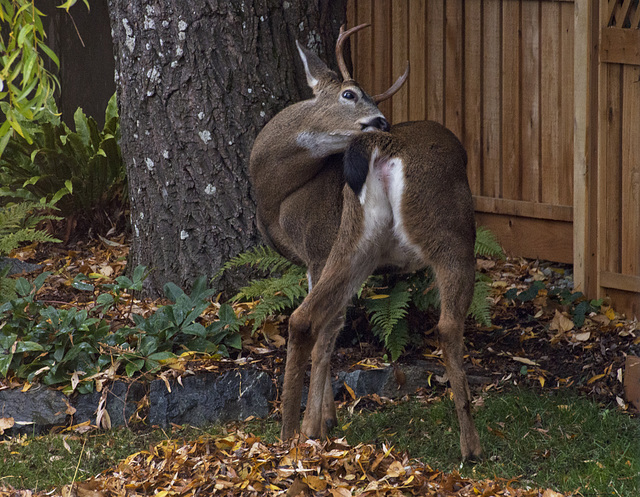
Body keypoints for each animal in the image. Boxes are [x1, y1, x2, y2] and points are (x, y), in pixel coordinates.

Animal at [248, 22, 482, 458]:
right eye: (349, 93)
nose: (381, 121)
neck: (279, 195)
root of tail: (383, 147)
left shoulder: (319, 251)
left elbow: (330, 331)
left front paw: (320, 423)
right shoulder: (321, 253)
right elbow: (331, 331)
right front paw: (320, 423)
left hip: (368, 243)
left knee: (304, 319)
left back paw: (288, 435)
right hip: (446, 232)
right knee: (446, 326)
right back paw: (471, 445)